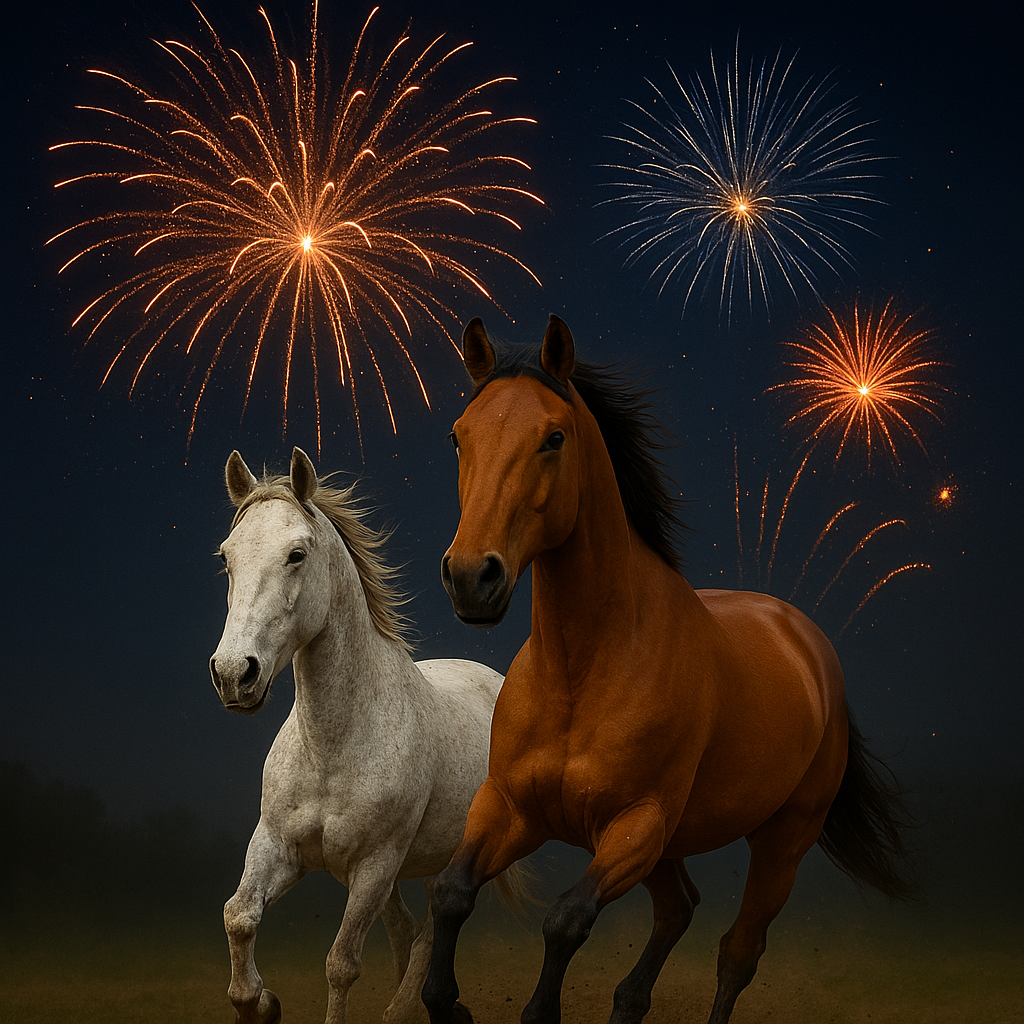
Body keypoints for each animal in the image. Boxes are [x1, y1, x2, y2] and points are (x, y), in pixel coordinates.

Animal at [209, 447, 513, 1024]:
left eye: (296, 555)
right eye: (226, 557)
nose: (234, 673)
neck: (334, 745)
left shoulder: (374, 865)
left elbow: (341, 964)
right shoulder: (278, 845)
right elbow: (239, 916)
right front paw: (261, 1004)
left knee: (429, 931)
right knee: (409, 932)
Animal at [421, 316, 915, 1024]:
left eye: (553, 438)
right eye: (459, 436)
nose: (470, 578)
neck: (582, 670)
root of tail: (808, 642)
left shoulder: (634, 827)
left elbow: (565, 922)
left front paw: (536, 1007)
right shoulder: (509, 807)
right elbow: (451, 893)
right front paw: (449, 1005)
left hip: (781, 842)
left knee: (737, 952)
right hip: (667, 848)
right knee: (679, 909)